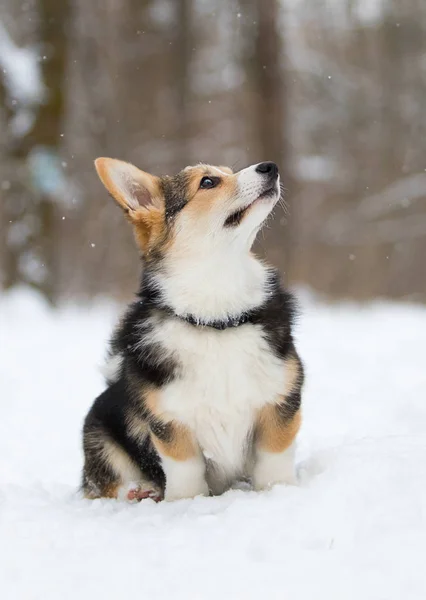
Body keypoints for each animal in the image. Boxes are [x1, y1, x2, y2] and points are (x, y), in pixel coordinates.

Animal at [82, 159, 302, 502]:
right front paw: (186, 503)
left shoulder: (280, 400)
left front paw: (279, 492)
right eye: (208, 182)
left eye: (229, 172)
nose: (270, 166)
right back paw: (140, 491)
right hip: (98, 428)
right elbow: (185, 469)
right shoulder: (170, 420)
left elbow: (274, 457)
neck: (216, 317)